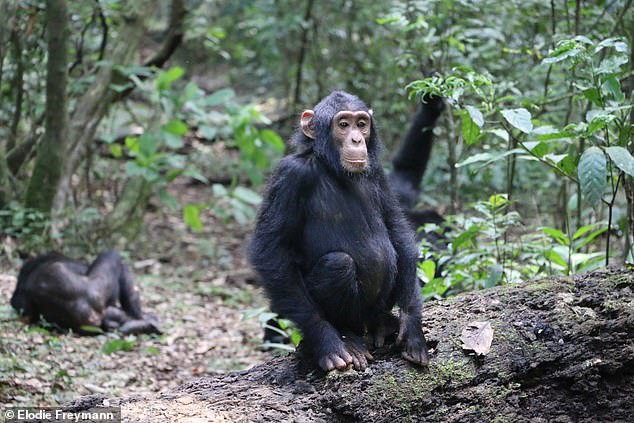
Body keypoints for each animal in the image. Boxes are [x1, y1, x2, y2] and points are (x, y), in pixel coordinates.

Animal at [247, 90, 430, 372]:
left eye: (362, 124)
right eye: (343, 125)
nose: (356, 139)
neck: (332, 169)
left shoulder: (378, 173)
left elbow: (397, 229)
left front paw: (412, 328)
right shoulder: (290, 176)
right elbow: (271, 250)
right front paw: (328, 341)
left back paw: (383, 322)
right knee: (338, 264)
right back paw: (348, 336)